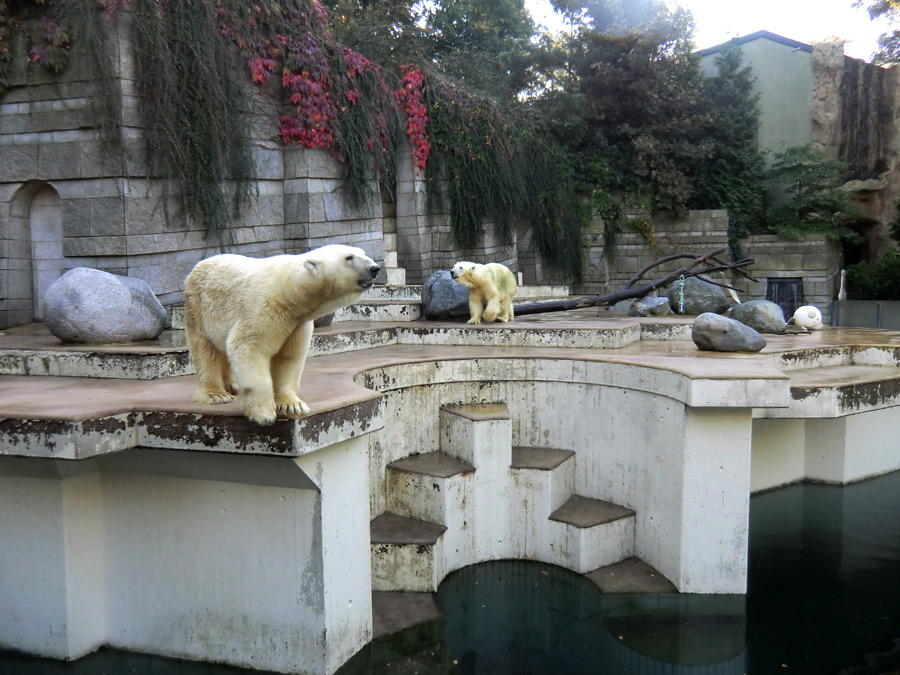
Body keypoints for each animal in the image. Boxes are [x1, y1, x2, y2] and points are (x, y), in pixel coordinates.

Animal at [183, 246, 380, 426]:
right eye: (349, 257)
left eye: (362, 252)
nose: (375, 268)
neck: (289, 290)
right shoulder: (264, 310)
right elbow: (248, 347)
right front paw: (264, 414)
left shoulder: (297, 324)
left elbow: (289, 358)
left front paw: (292, 405)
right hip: (198, 307)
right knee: (205, 350)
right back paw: (217, 394)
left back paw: (232, 385)